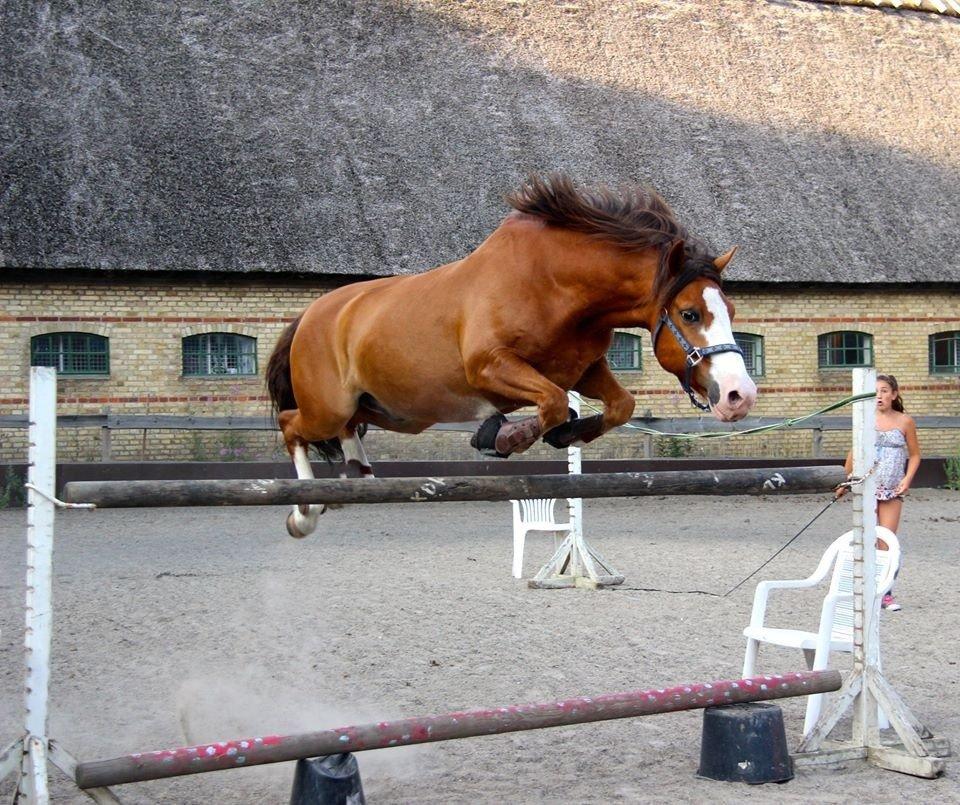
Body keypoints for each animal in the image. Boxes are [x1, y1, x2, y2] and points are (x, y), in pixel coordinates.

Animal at [268, 177, 756, 540]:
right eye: (690, 313)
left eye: (731, 311)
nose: (740, 396)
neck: (556, 286)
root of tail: (309, 315)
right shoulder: (489, 365)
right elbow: (553, 402)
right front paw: (502, 436)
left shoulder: (582, 369)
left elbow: (620, 405)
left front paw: (565, 434)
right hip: (327, 407)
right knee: (292, 425)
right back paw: (304, 513)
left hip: (386, 410)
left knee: (348, 430)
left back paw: (357, 476)